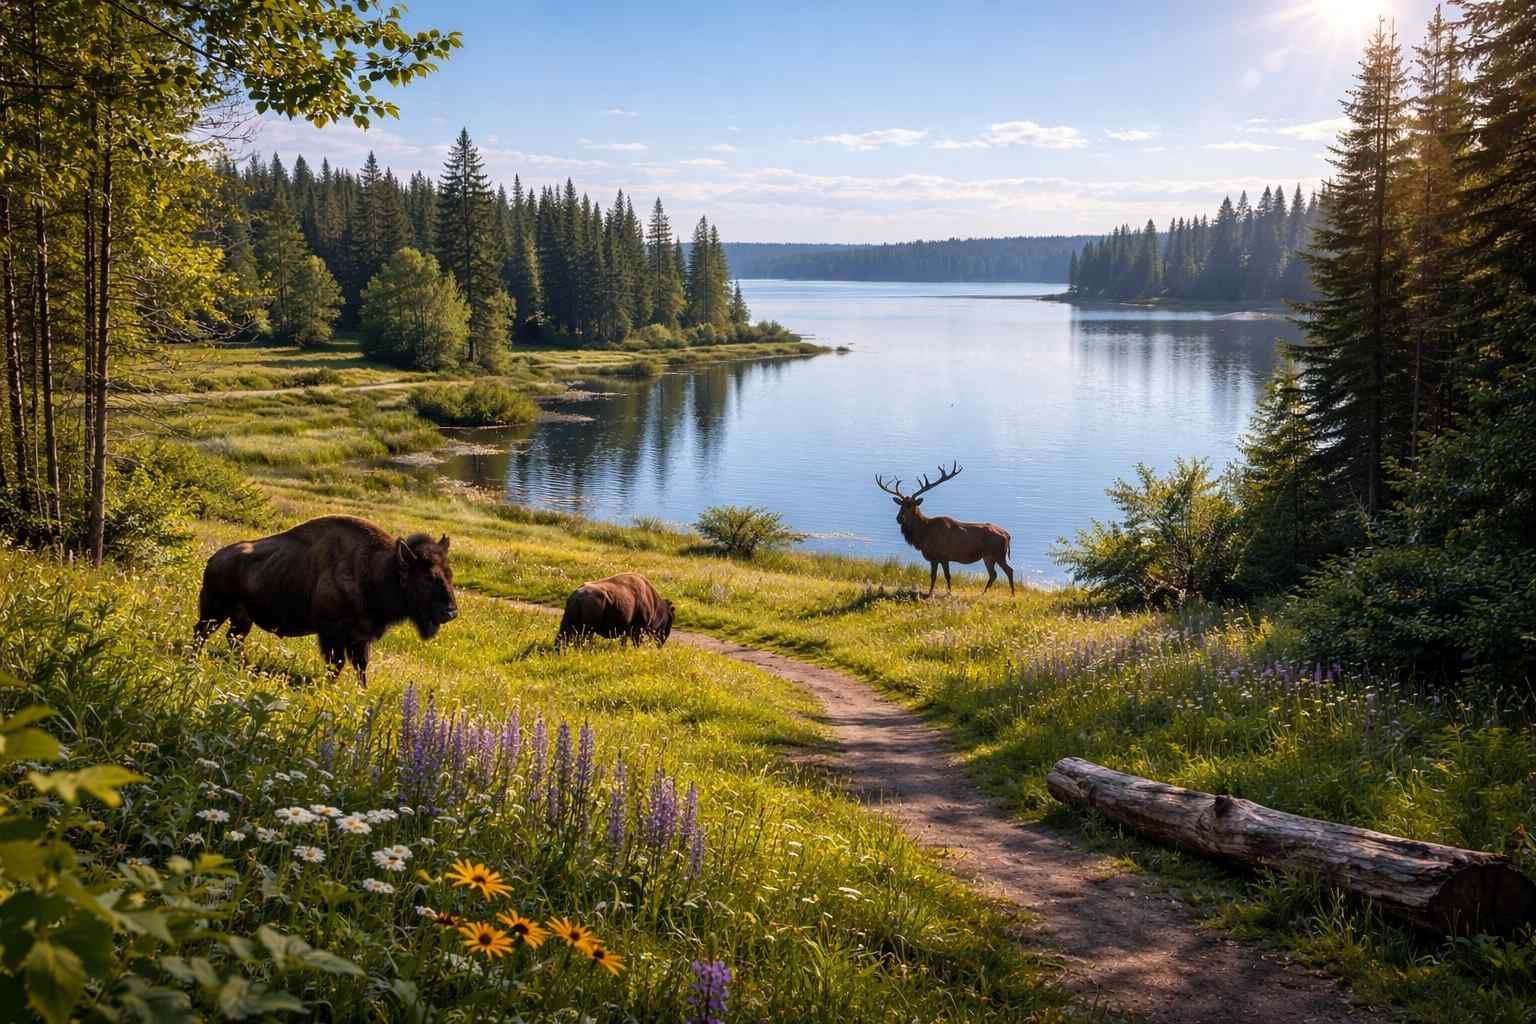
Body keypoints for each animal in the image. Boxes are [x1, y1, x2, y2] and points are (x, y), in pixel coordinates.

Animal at [194, 515, 458, 685]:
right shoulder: (333, 634)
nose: (450, 612)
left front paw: (362, 691)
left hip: (241, 617)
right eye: (428, 577)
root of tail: (214, 558)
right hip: (215, 611)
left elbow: (361, 666)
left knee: (233, 638)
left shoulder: (359, 638)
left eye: (450, 574)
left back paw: (242, 665)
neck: (378, 569)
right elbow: (337, 664)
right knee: (201, 633)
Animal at [875, 462, 1015, 597]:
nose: (899, 518)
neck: (923, 535)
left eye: (911, 505)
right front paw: (946, 592)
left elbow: (937, 576)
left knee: (1009, 570)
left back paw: (1012, 594)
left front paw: (933, 594)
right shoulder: (941, 558)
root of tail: (1008, 535)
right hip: (988, 556)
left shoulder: (939, 556)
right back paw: (984, 593)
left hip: (998, 553)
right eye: (901, 505)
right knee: (994, 574)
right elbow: (944, 576)